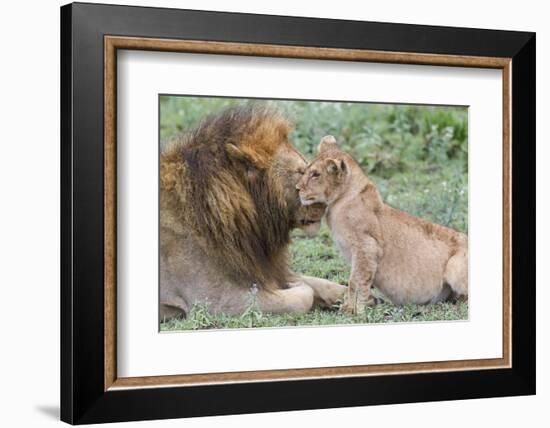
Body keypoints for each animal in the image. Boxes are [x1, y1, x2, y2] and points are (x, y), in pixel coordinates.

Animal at [160, 103, 344, 320]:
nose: (326, 203)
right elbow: (302, 296)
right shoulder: (217, 301)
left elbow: (323, 283)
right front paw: (295, 285)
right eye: (300, 173)